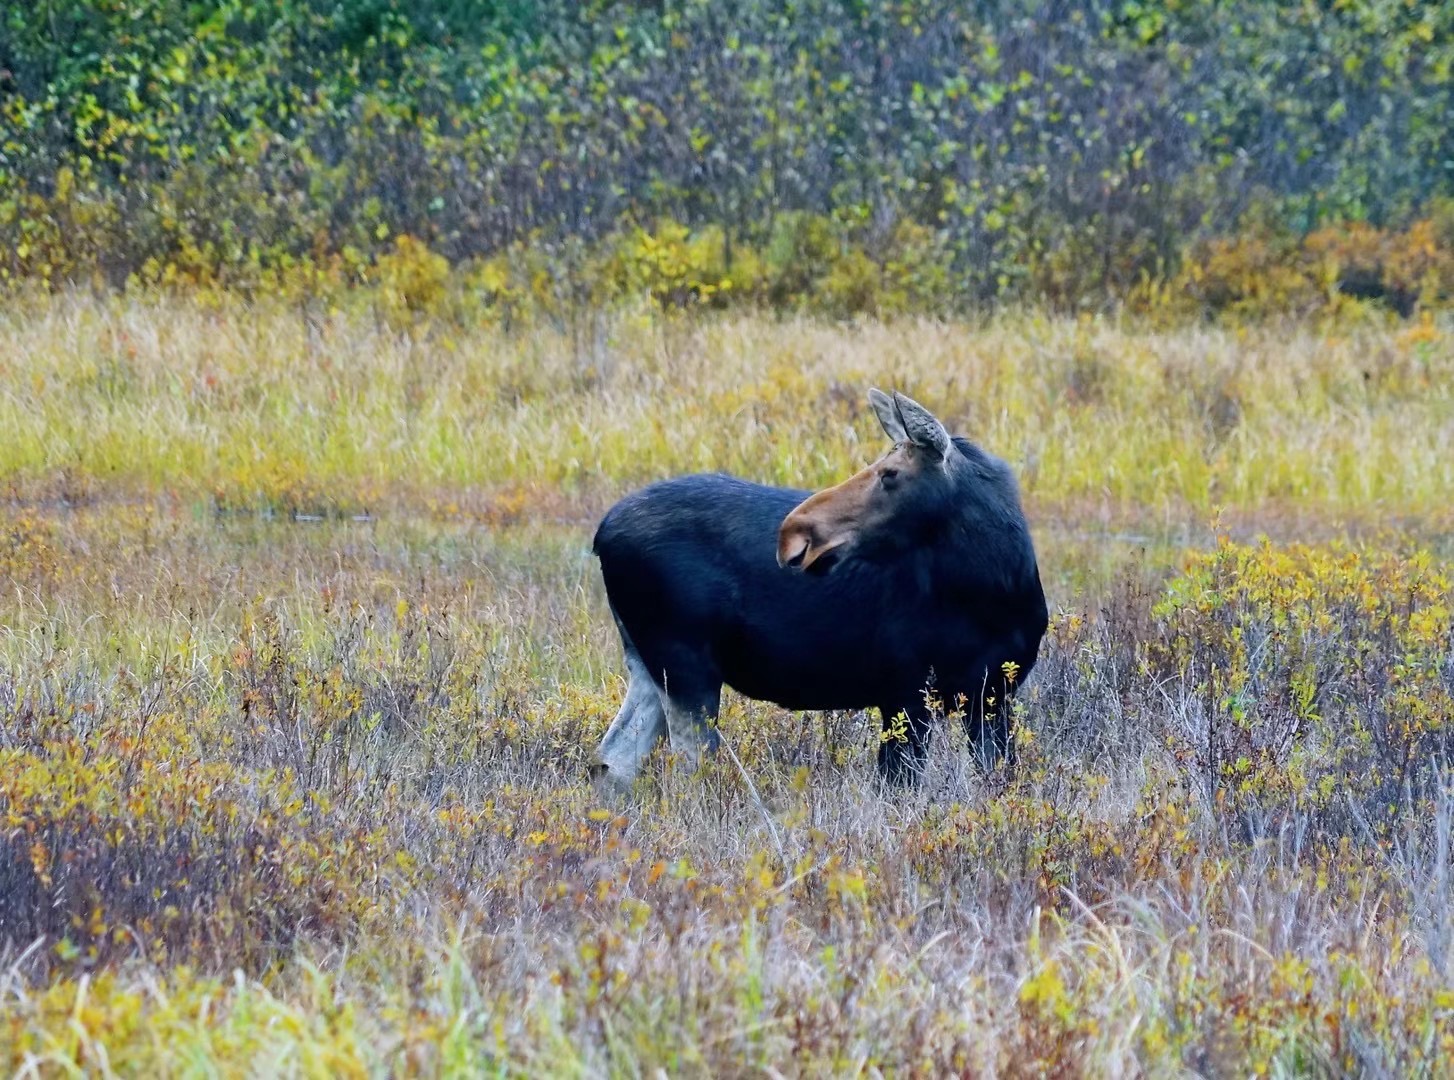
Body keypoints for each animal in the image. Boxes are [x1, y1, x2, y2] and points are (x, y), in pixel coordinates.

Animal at [590, 389, 1046, 784]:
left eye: (890, 473)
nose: (793, 533)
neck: (996, 593)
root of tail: (601, 535)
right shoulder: (904, 693)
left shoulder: (993, 697)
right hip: (684, 662)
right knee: (688, 769)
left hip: (648, 663)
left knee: (613, 761)